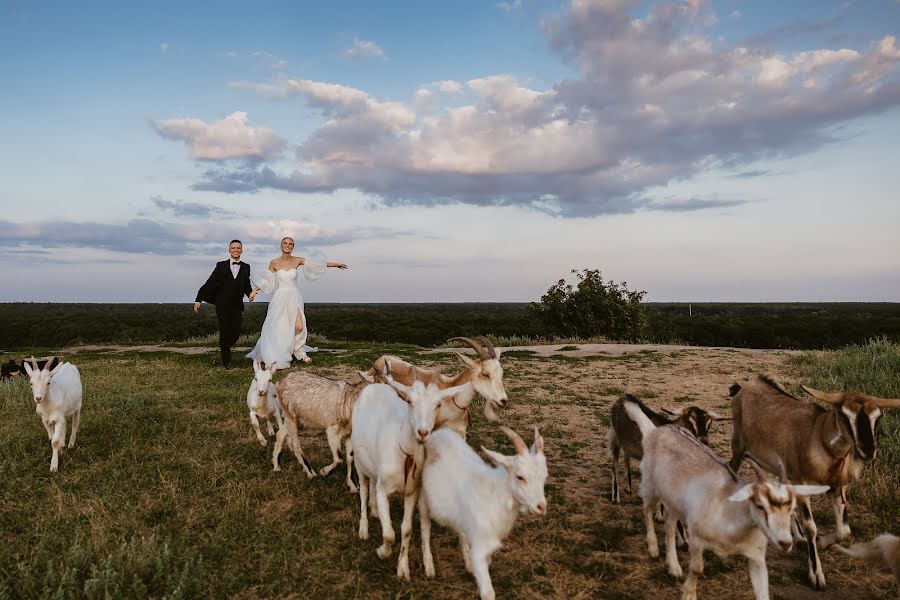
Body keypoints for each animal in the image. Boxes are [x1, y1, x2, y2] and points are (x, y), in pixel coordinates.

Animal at [350, 366, 472, 580]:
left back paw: (374, 511)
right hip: (358, 459)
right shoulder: (384, 489)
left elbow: (405, 529)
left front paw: (402, 568)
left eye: (438, 404)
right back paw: (363, 528)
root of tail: (373, 387)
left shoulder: (411, 492)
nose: (422, 432)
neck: (404, 454)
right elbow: (389, 534)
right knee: (364, 488)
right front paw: (382, 552)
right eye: (409, 401)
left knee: (372, 481)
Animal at [416, 426, 548, 600]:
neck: (494, 496)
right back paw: (429, 568)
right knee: (425, 528)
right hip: (423, 498)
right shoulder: (480, 547)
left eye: (545, 477)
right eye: (520, 477)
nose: (541, 507)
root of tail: (439, 433)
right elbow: (488, 593)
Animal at [624, 404, 828, 600]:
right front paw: (689, 594)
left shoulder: (756, 556)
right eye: (759, 505)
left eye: (792, 508)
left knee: (669, 525)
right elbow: (697, 568)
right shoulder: (697, 537)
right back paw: (653, 549)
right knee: (647, 509)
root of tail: (656, 431)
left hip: (673, 499)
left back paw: (674, 567)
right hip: (651, 485)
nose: (785, 542)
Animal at [728, 378, 896, 588]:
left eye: (877, 417)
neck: (818, 436)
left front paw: (822, 542)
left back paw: (797, 537)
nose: (868, 450)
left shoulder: (837, 487)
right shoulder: (802, 483)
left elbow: (844, 531)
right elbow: (811, 527)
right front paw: (816, 575)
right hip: (738, 447)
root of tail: (746, 386)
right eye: (844, 414)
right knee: (731, 468)